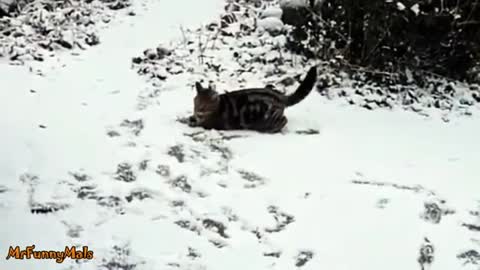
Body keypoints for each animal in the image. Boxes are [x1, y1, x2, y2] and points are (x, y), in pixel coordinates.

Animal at [188, 65, 318, 133]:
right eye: (196, 103)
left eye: (204, 106)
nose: (198, 111)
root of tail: (279, 96)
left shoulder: (209, 124)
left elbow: (196, 123)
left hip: (269, 116)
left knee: (283, 120)